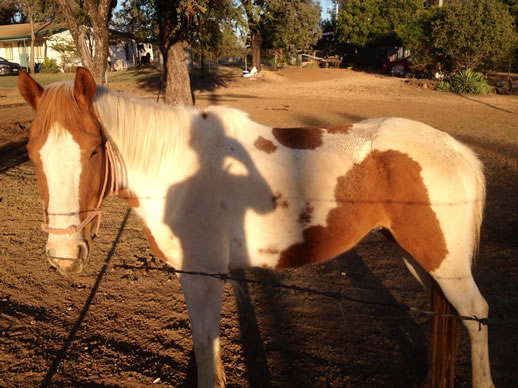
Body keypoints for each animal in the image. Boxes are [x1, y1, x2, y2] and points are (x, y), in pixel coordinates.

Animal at [17, 67, 496, 388]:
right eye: (32, 151)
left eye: (94, 150)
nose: (64, 254)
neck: (175, 167)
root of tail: (454, 149)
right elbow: (208, 349)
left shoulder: (202, 276)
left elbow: (205, 352)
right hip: (421, 257)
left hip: (445, 262)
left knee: (475, 314)